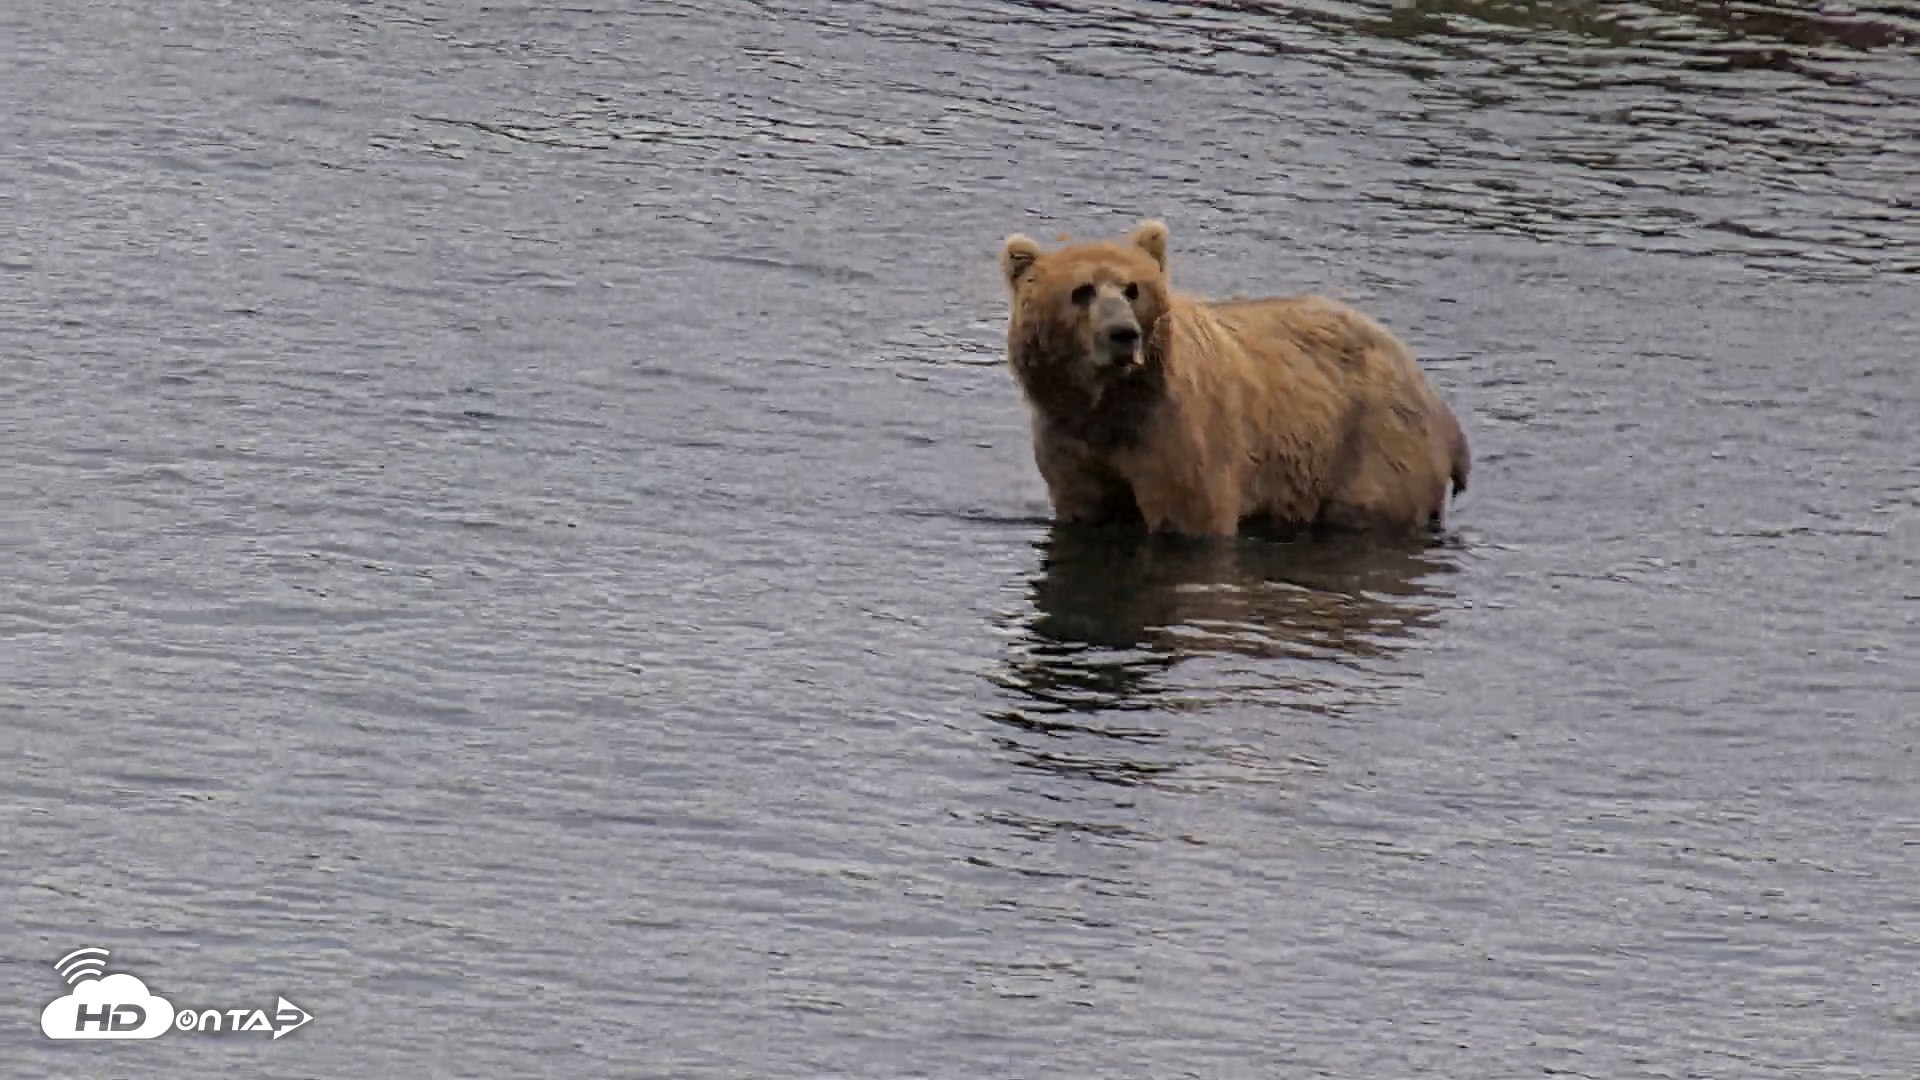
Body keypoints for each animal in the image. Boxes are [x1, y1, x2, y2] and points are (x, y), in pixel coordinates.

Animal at [998, 219, 1470, 538]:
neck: (1112, 404)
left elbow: (1191, 516)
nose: (1122, 335)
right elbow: (1084, 503)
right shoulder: (1072, 442)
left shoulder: (1178, 437)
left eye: (1133, 289)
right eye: (1081, 291)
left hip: (1374, 446)